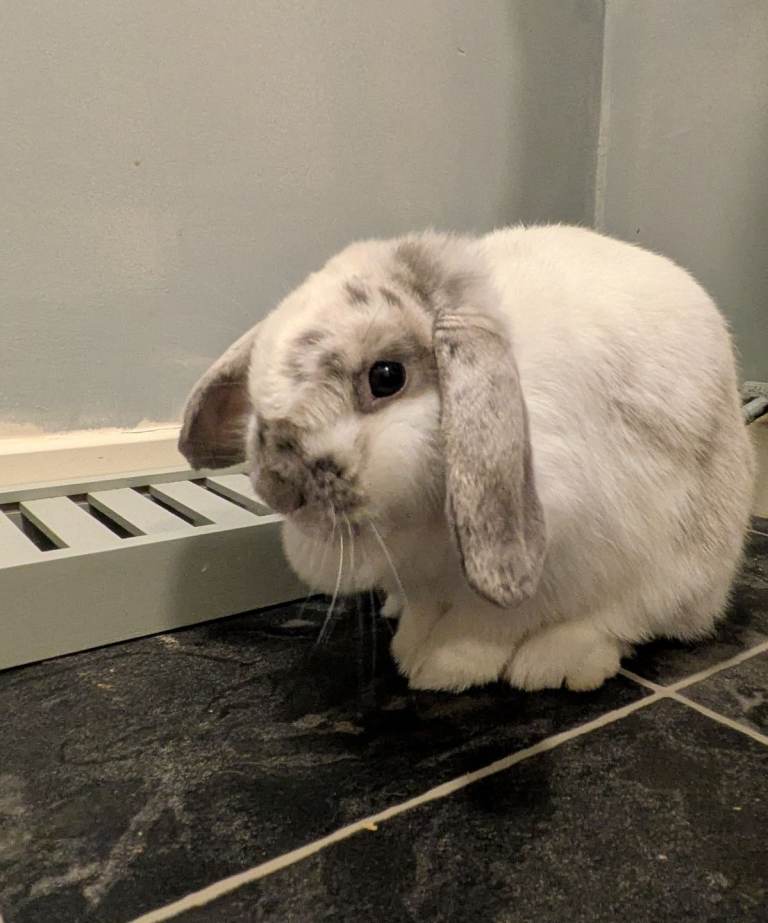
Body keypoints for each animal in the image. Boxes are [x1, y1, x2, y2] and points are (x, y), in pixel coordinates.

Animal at [178, 225, 755, 693]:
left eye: (386, 377)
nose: (278, 484)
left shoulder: (543, 560)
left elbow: (486, 625)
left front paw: (441, 668)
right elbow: (424, 610)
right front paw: (408, 645)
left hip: (677, 565)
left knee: (631, 616)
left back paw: (555, 664)